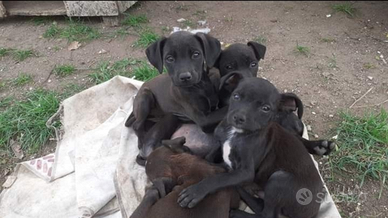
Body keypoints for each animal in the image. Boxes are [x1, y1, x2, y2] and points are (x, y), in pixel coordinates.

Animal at [179, 77, 324, 218]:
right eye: (236, 96)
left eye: (265, 108)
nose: (239, 117)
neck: (236, 133)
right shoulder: (220, 142)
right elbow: (209, 157)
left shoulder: (245, 172)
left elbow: (219, 179)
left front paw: (196, 191)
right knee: (260, 206)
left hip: (279, 178)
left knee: (267, 215)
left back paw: (237, 211)